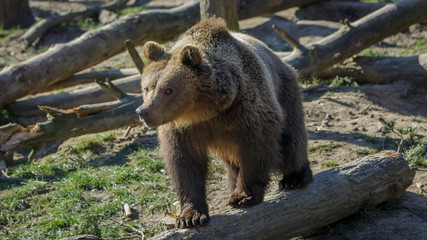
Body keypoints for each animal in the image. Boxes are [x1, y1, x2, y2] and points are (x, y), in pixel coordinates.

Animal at [137, 17, 314, 228]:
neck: (205, 111)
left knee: (291, 138)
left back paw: (295, 177)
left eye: (168, 89)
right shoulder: (182, 130)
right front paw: (190, 216)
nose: (143, 111)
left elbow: (257, 144)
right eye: (147, 87)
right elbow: (184, 164)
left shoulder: (246, 108)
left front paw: (243, 196)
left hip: (284, 89)